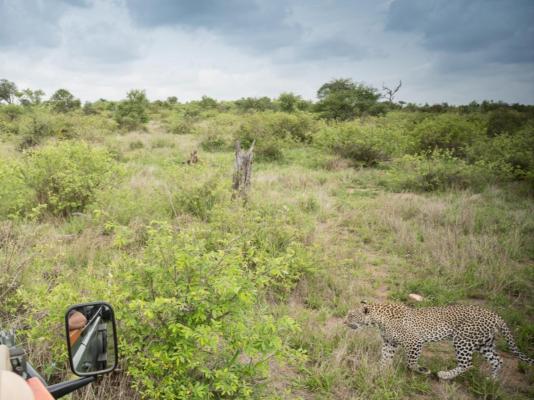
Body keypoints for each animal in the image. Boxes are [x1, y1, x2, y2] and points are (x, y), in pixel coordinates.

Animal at [346, 302, 532, 380]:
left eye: (351, 315)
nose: (344, 322)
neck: (378, 320)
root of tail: (495, 315)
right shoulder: (389, 343)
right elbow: (385, 358)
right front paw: (379, 370)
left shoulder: (415, 342)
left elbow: (410, 362)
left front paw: (423, 370)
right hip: (484, 343)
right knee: (498, 361)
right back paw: (491, 380)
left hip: (463, 340)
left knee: (467, 364)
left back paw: (444, 375)